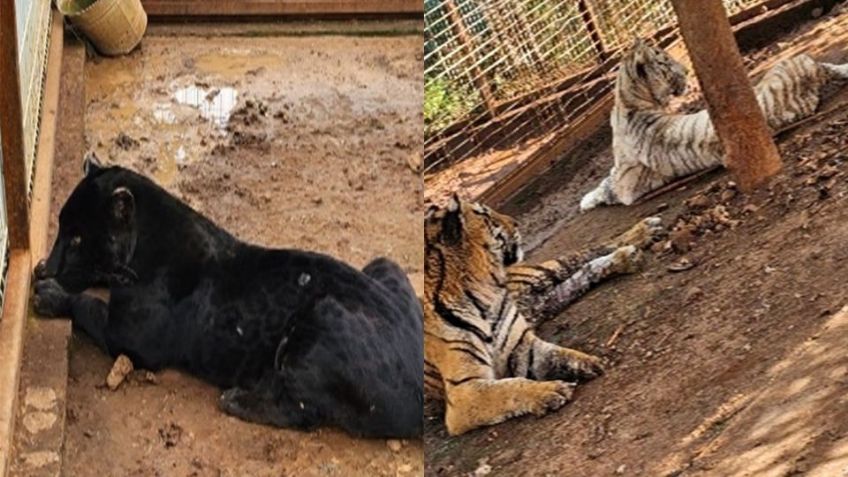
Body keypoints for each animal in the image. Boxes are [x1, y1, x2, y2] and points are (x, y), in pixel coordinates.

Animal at [424, 195, 663, 435]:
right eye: (487, 215)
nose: (516, 223)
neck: (483, 293)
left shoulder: (521, 346)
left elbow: (558, 353)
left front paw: (589, 362)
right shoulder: (463, 394)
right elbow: (512, 385)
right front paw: (551, 391)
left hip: (538, 276)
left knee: (578, 255)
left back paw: (642, 233)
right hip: (541, 300)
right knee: (576, 278)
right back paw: (628, 256)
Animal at [580, 38, 848, 211]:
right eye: (666, 63)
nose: (686, 70)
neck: (628, 98)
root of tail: (807, 82)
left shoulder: (626, 182)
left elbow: (606, 182)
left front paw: (586, 200)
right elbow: (606, 182)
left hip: (792, 61)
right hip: (795, 62)